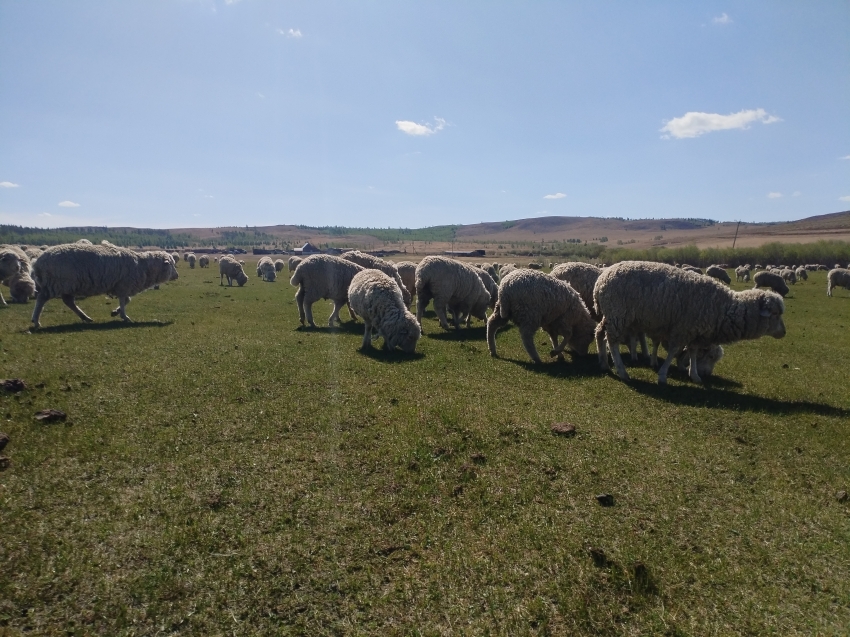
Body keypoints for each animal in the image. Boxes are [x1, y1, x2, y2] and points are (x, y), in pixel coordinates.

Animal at [29, 241, 178, 326]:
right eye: (171, 264)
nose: (177, 275)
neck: (143, 265)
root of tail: (37, 262)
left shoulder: (120, 286)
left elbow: (127, 300)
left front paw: (115, 312)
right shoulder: (124, 285)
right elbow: (124, 301)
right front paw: (124, 316)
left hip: (67, 285)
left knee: (68, 301)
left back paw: (86, 318)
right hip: (56, 283)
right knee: (41, 299)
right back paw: (36, 321)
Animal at [592, 262, 784, 386]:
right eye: (775, 314)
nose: (784, 332)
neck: (724, 307)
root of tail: (601, 280)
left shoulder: (695, 331)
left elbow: (692, 351)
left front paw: (695, 375)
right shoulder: (683, 329)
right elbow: (673, 352)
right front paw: (663, 376)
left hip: (611, 315)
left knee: (599, 333)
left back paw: (603, 363)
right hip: (619, 314)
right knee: (612, 341)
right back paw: (622, 371)